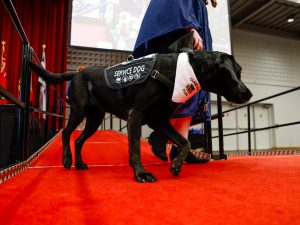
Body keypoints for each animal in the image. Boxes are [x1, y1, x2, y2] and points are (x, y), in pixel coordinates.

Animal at [29, 48, 252, 181]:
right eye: (234, 73)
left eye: (240, 72)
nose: (248, 94)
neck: (180, 71)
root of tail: (76, 73)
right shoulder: (135, 116)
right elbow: (135, 147)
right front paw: (141, 174)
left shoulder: (159, 120)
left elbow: (185, 141)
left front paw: (176, 165)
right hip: (78, 112)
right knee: (67, 133)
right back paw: (67, 160)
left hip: (95, 118)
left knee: (78, 140)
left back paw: (80, 164)